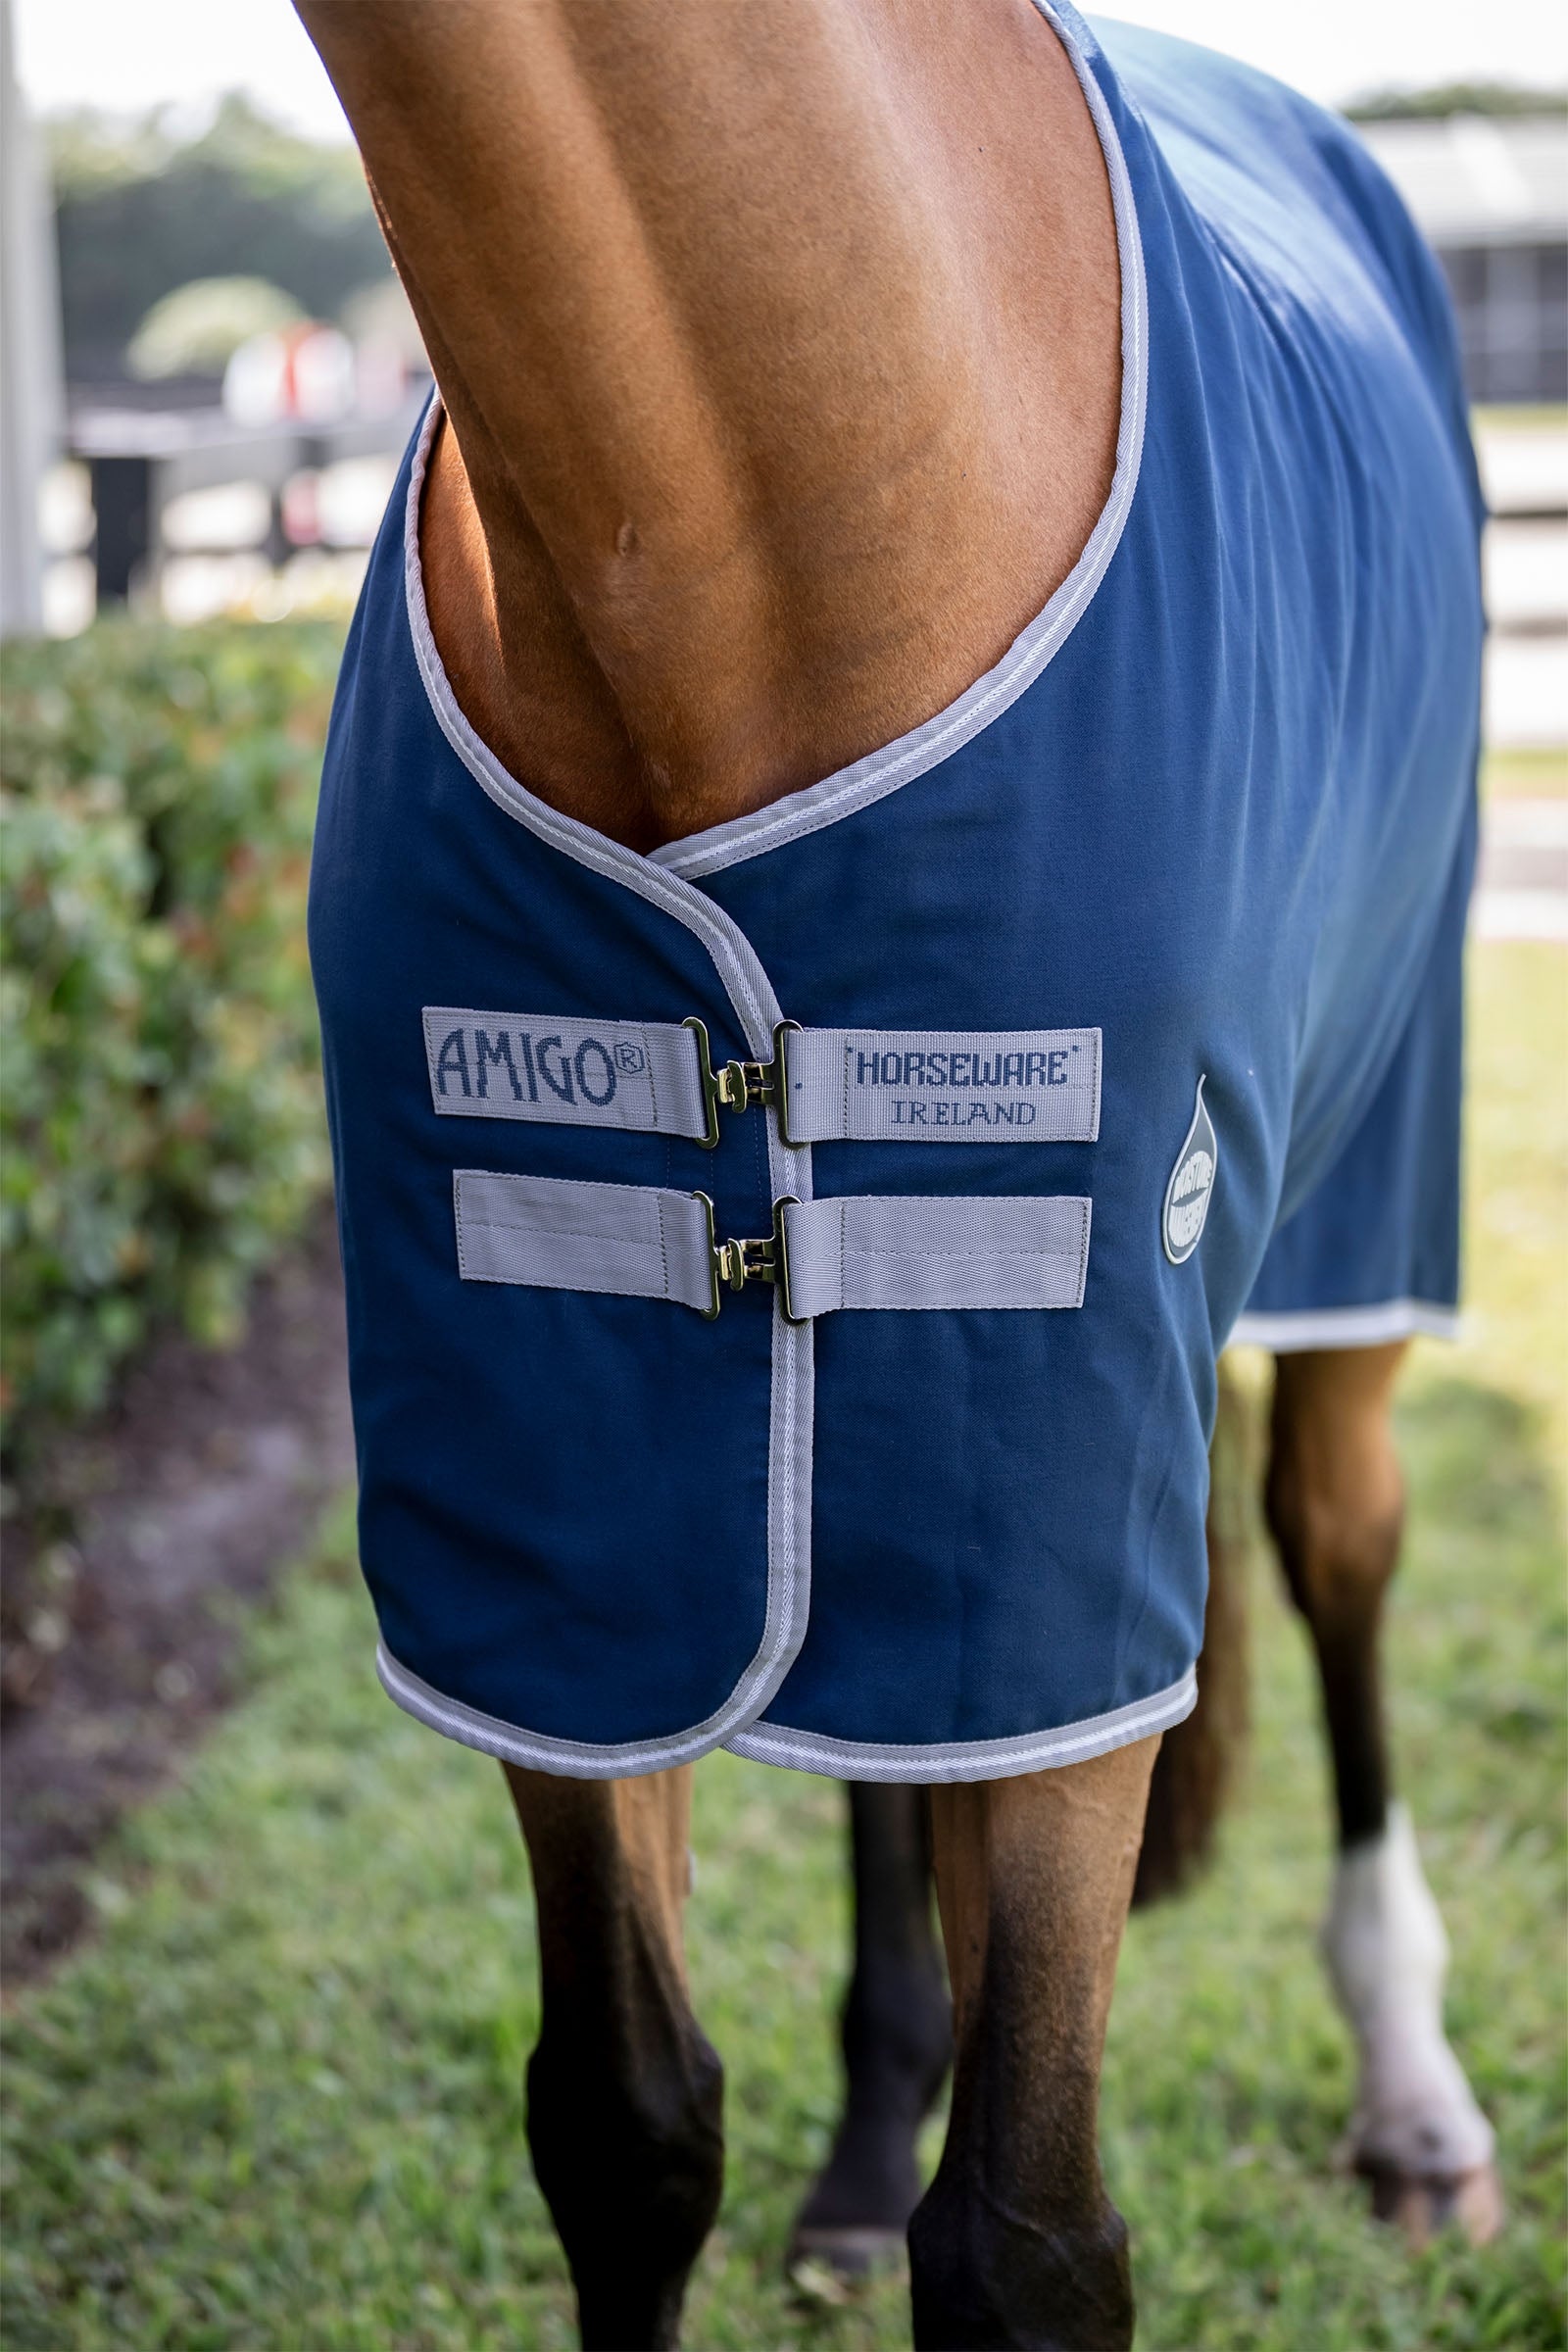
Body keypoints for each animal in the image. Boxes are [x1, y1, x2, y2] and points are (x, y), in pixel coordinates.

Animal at [297, 2, 1500, 2343]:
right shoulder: (556, 1478)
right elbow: (625, 2126)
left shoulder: (1064, 1482)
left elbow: (1029, 2242)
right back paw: (867, 2141)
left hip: (1351, 1202)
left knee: (1337, 1548)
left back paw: (1410, 2085)